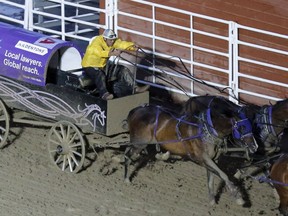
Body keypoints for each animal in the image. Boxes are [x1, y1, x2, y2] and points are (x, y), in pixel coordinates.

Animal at [124, 96, 256, 206]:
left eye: (251, 126)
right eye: (242, 127)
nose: (254, 146)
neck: (206, 130)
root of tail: (135, 111)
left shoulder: (212, 159)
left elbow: (211, 178)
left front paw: (212, 201)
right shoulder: (201, 158)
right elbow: (222, 174)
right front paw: (238, 196)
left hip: (138, 143)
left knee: (128, 152)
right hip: (139, 143)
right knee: (127, 154)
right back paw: (126, 178)